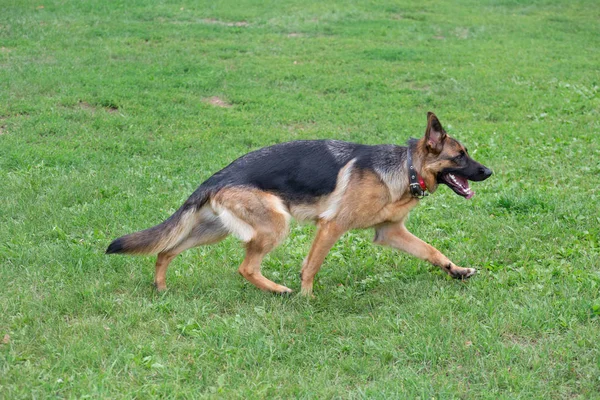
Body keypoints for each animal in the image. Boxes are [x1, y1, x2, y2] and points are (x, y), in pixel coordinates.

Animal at [108, 111, 492, 296]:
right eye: (460, 156)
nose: (489, 171)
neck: (405, 168)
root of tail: (216, 176)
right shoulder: (332, 226)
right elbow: (311, 266)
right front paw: (307, 300)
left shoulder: (390, 232)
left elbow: (432, 251)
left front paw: (457, 271)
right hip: (276, 225)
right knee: (246, 268)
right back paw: (279, 291)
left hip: (213, 231)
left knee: (165, 250)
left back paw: (161, 288)